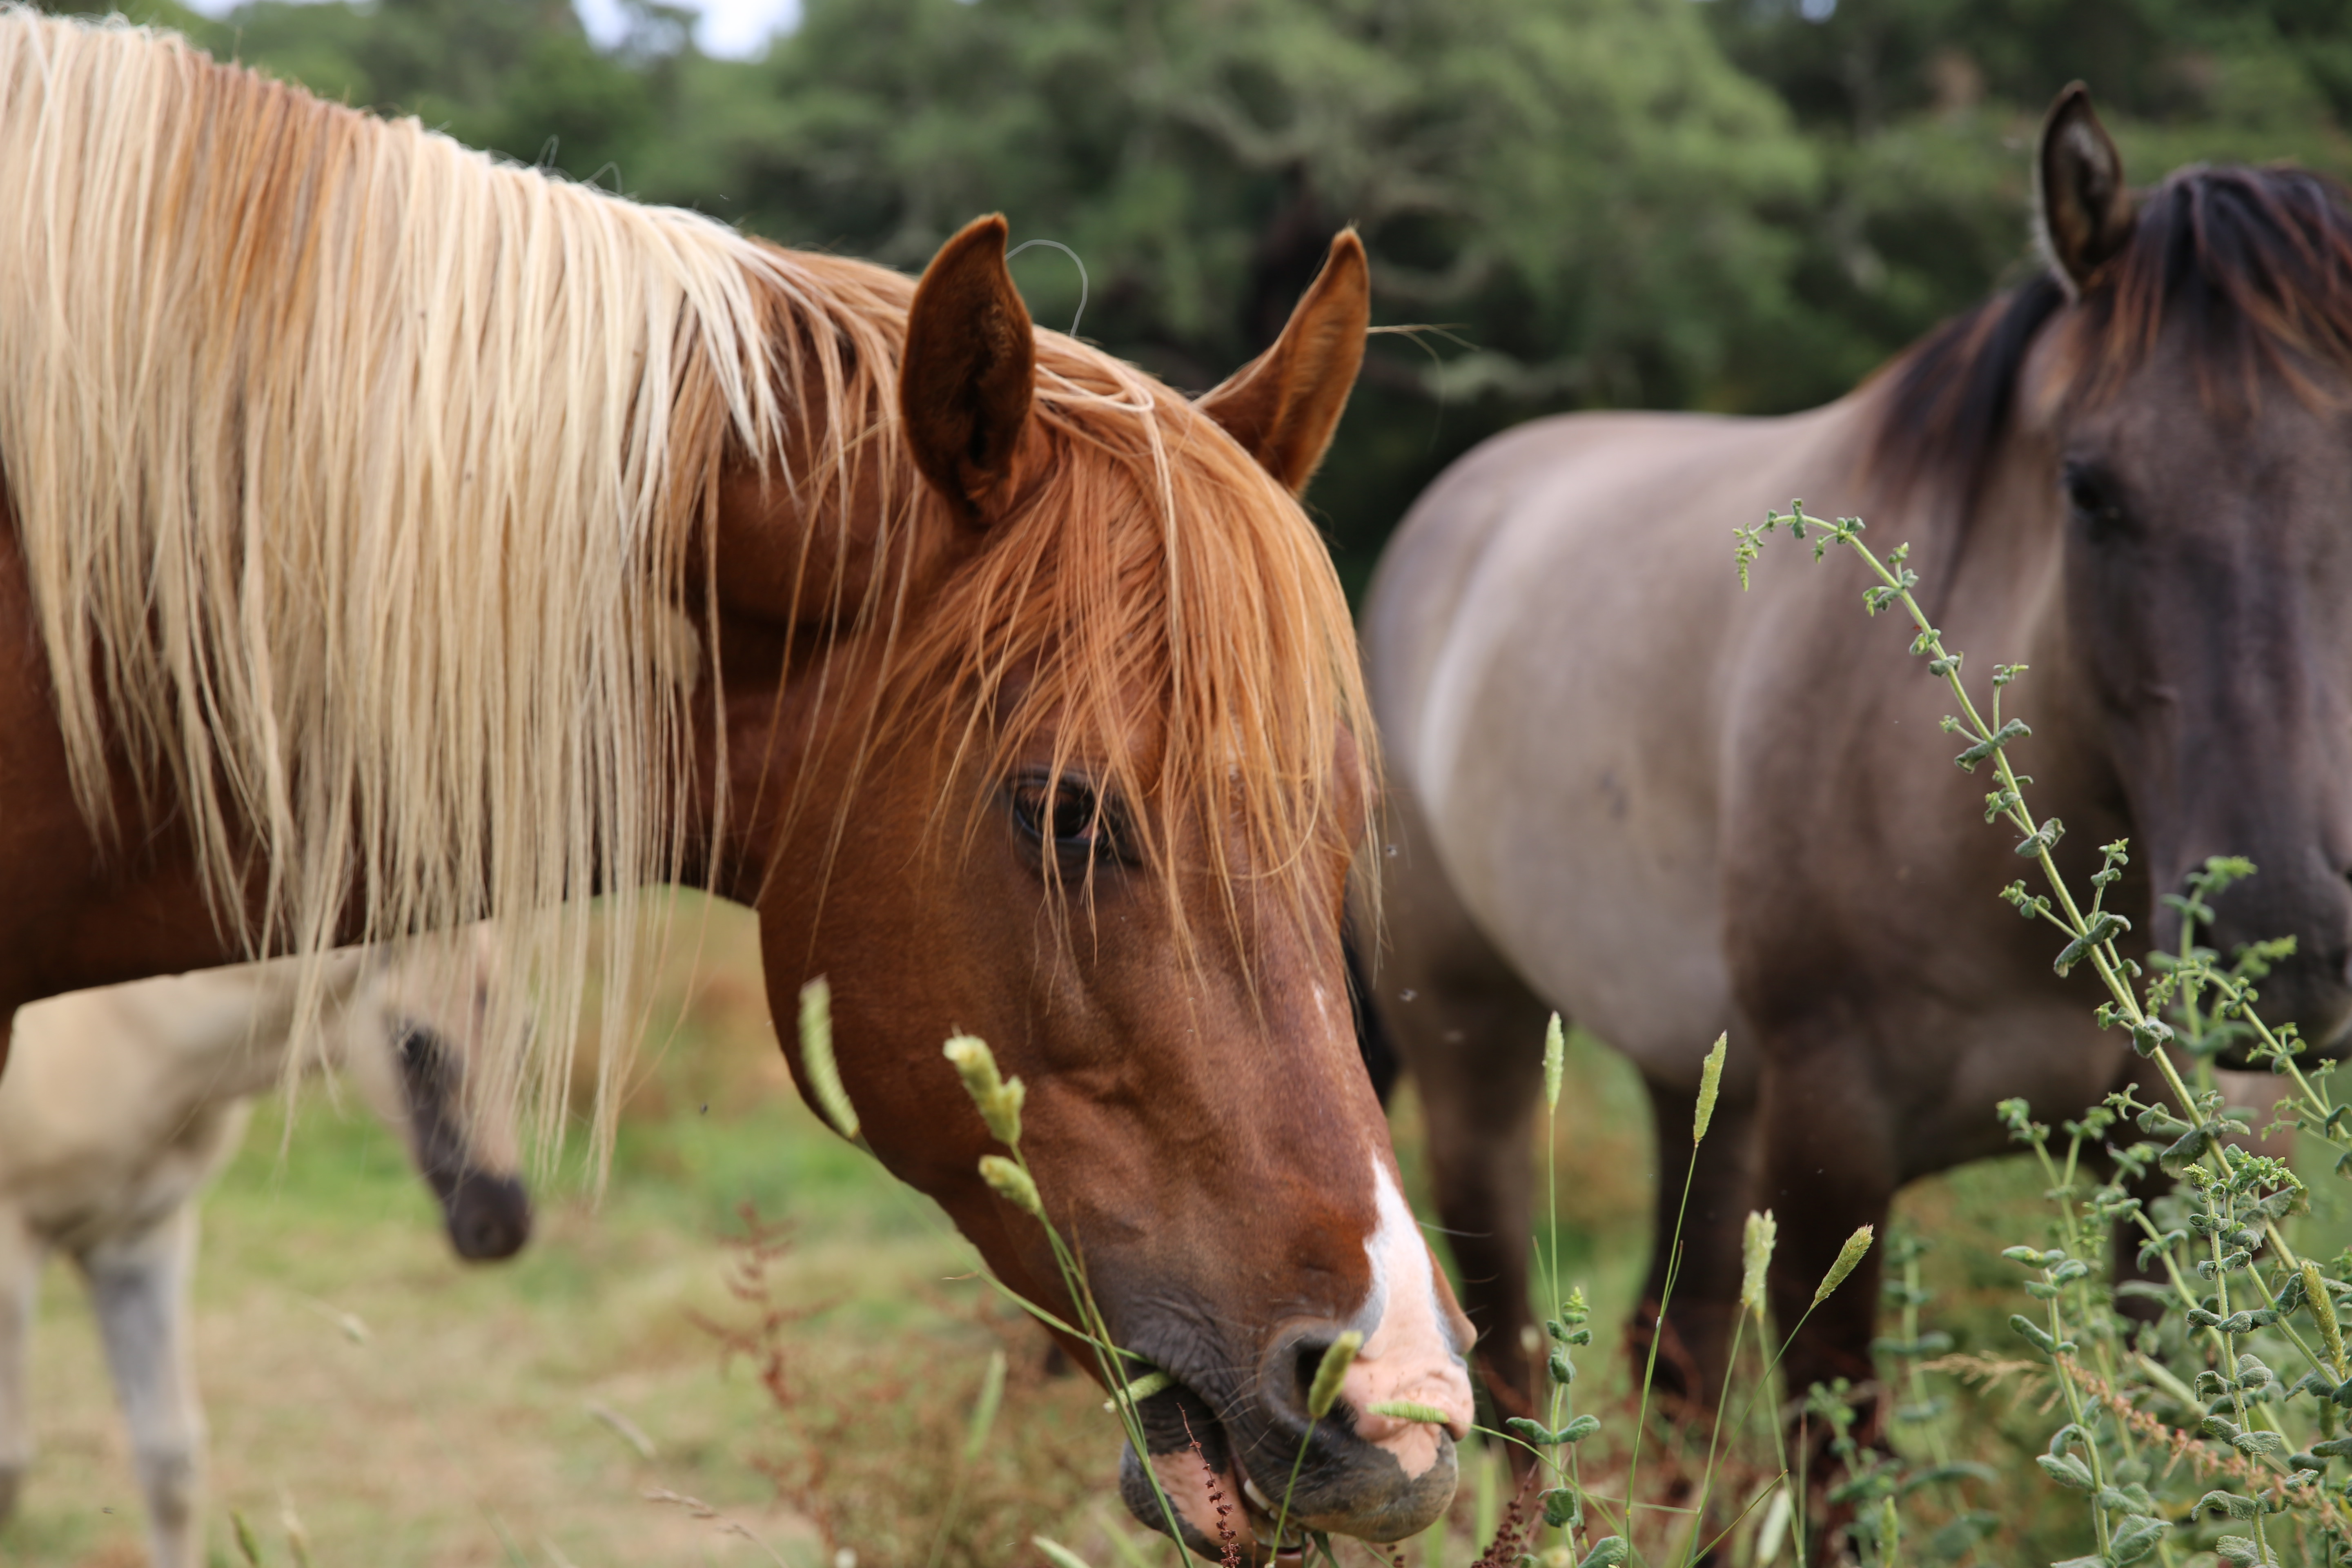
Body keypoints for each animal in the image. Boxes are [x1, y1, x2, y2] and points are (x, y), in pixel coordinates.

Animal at [0, 931, 529, 1568]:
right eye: (415, 1044)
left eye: (526, 1032)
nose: (504, 1223)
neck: (120, 1031)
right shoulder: (12, 1246)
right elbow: (8, 1466)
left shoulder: (141, 1240)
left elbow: (170, 1463)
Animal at [1358, 81, 2352, 1429]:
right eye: (2088, 490)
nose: (2283, 945)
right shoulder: (1834, 1147)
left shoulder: (2199, 1146)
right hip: (1480, 1055)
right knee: (1510, 1363)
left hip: (1701, 1085)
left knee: (1676, 1348)